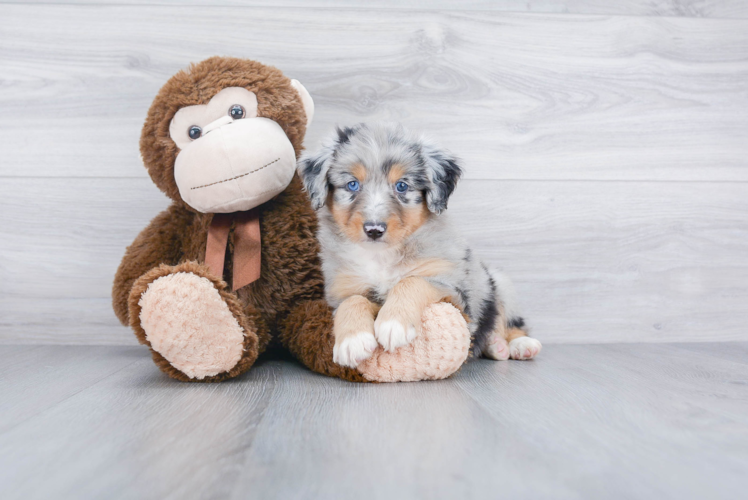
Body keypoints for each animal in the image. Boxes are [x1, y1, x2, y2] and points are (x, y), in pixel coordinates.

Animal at [296, 123, 540, 370]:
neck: (381, 256)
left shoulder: (454, 292)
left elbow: (411, 281)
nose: (374, 229)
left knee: (510, 322)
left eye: (402, 186)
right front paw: (352, 341)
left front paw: (393, 323)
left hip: (499, 283)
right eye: (352, 184)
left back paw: (519, 345)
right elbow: (353, 301)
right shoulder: (342, 290)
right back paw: (496, 346)